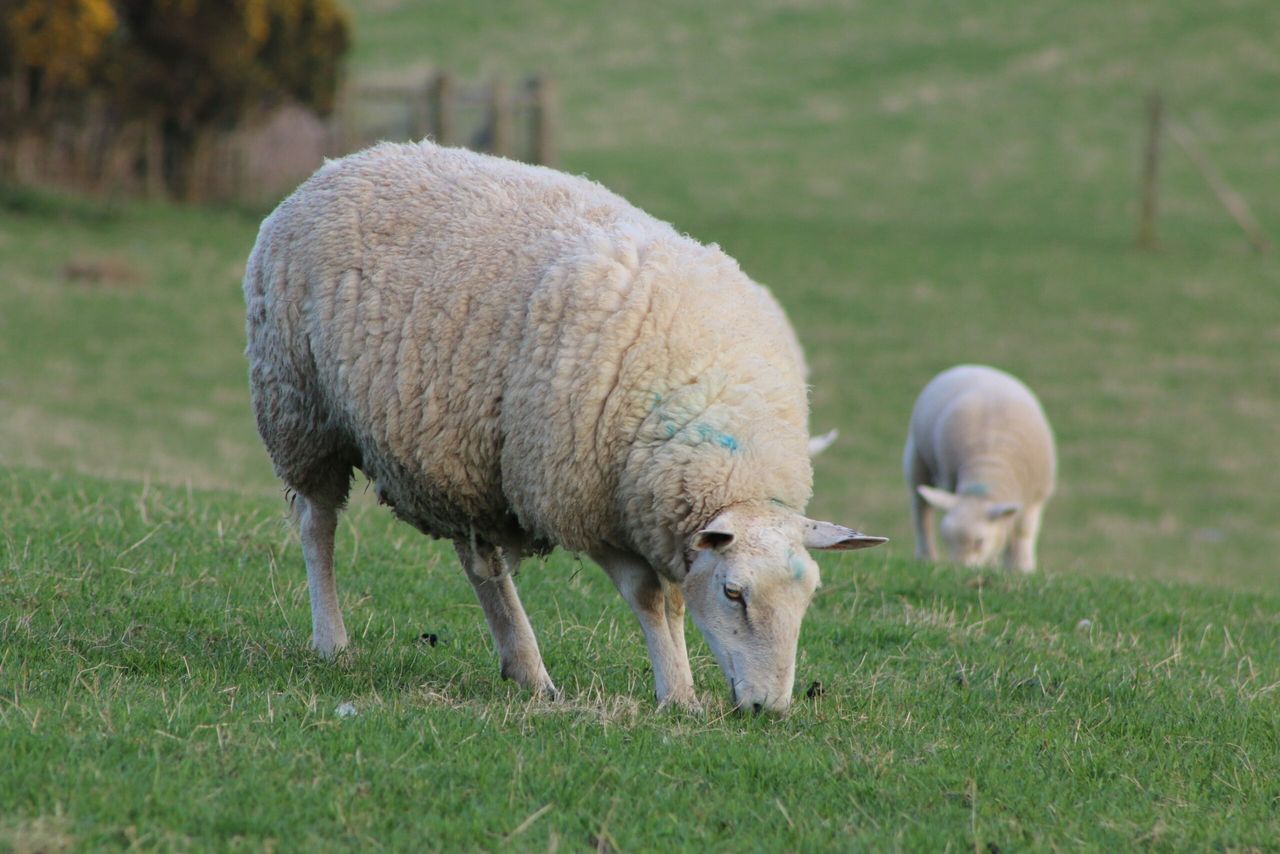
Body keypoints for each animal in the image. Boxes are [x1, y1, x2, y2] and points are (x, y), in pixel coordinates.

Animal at [243, 141, 886, 714]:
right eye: (734, 593)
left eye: (808, 597)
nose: (768, 708)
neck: (714, 412)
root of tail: (340, 163)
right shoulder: (586, 500)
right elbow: (653, 599)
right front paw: (678, 695)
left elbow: (672, 597)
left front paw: (677, 685)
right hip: (300, 405)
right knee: (317, 524)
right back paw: (332, 641)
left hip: (462, 453)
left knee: (479, 559)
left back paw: (524, 667)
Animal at [903, 364, 1056, 571]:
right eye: (947, 539)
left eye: (979, 541)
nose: (960, 570)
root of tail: (971, 366)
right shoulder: (950, 478)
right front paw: (994, 566)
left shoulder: (1036, 496)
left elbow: (1023, 532)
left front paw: (1021, 568)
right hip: (916, 457)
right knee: (921, 510)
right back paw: (926, 556)